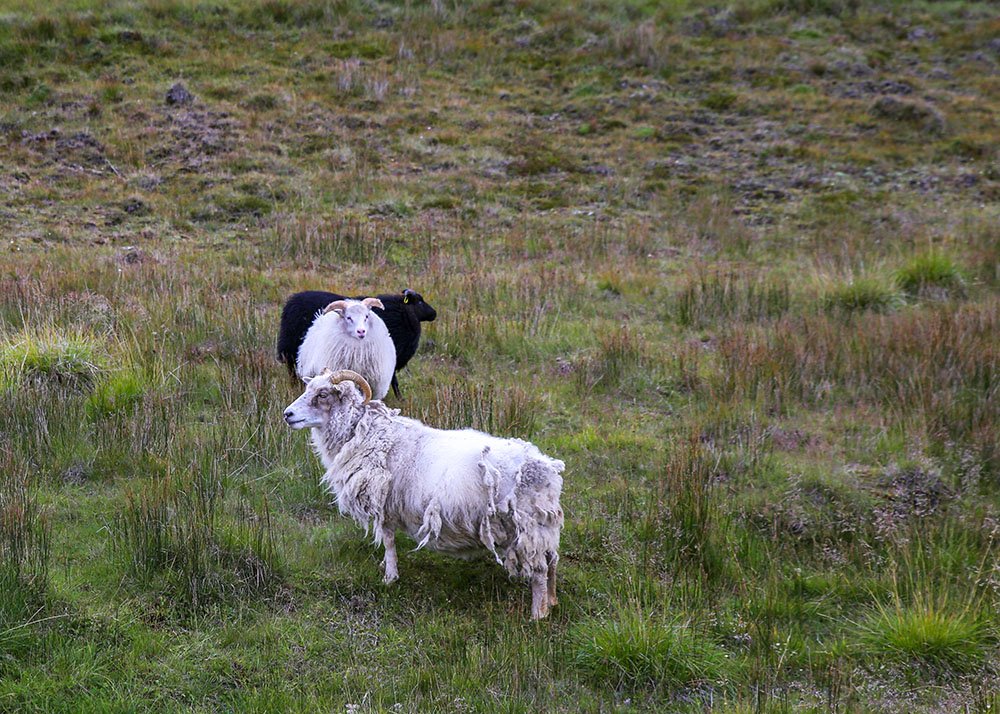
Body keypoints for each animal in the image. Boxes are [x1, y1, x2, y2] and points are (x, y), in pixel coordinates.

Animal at [277, 289, 437, 397]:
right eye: (420, 301)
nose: (434, 314)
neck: (403, 313)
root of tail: (291, 302)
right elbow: (394, 381)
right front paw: (400, 398)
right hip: (291, 349)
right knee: (292, 371)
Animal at [283, 368, 564, 620]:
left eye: (322, 394)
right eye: (308, 388)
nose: (287, 414)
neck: (365, 433)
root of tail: (548, 470)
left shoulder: (384, 505)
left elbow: (388, 542)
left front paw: (389, 577)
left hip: (529, 528)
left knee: (540, 570)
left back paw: (538, 614)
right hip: (543, 526)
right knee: (552, 561)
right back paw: (552, 602)